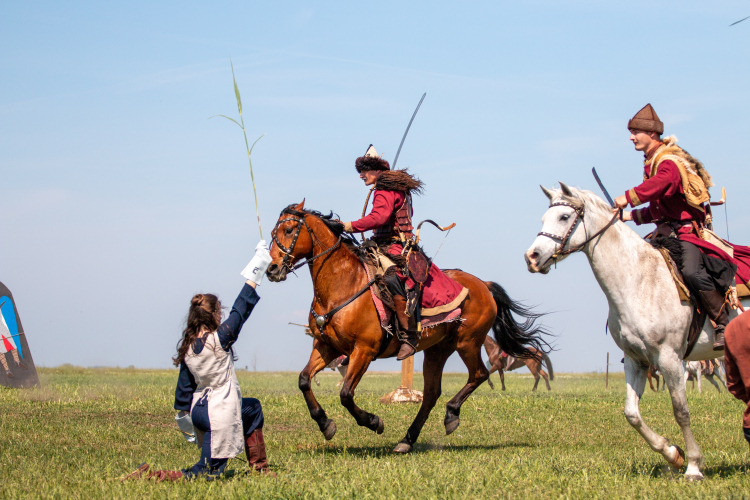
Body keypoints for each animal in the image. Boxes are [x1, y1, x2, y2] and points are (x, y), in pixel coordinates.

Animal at [268, 200, 548, 454]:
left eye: (290, 230)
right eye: (273, 233)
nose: (272, 269)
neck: (343, 284)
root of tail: (483, 285)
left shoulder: (363, 351)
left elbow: (346, 394)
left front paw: (374, 422)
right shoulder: (326, 346)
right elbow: (304, 380)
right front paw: (325, 424)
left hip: (467, 342)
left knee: (479, 374)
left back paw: (451, 415)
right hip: (437, 350)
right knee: (432, 393)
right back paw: (407, 440)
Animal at [524, 183, 748, 480]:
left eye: (563, 217)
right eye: (544, 219)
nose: (532, 257)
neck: (638, 280)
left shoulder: (669, 359)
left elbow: (681, 411)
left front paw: (693, 465)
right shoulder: (636, 360)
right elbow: (631, 413)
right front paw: (672, 454)